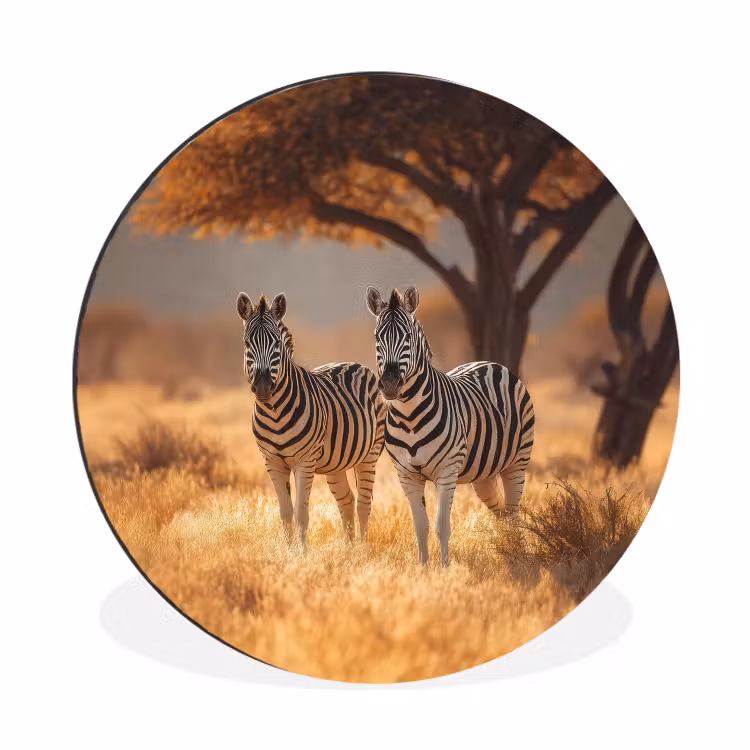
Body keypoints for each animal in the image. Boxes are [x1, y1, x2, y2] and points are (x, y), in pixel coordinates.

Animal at [237, 292, 385, 544]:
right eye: (248, 343)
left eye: (276, 344)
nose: (263, 386)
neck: (274, 412)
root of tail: (354, 364)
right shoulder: (272, 462)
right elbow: (285, 514)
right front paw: (287, 551)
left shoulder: (304, 462)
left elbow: (301, 515)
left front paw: (302, 552)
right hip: (336, 463)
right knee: (346, 501)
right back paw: (349, 549)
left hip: (370, 454)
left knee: (364, 504)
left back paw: (362, 548)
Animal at [366, 285, 535, 566]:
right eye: (377, 337)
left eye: (408, 337)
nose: (389, 384)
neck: (409, 417)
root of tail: (490, 363)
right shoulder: (406, 475)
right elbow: (420, 526)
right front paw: (423, 568)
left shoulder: (446, 471)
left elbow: (441, 526)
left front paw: (444, 569)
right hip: (483, 474)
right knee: (500, 512)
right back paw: (506, 551)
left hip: (517, 463)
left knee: (512, 514)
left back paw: (517, 556)